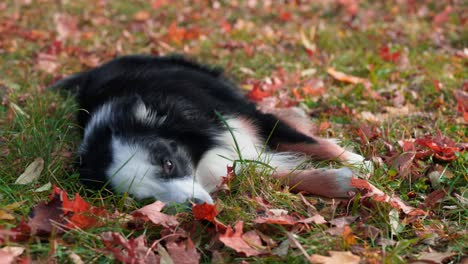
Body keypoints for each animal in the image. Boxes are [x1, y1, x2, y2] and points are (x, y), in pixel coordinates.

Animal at [52, 54, 372, 204]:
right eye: (144, 198)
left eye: (168, 163)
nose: (195, 204)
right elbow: (275, 173)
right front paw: (340, 182)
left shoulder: (240, 116)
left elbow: (311, 142)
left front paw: (360, 163)